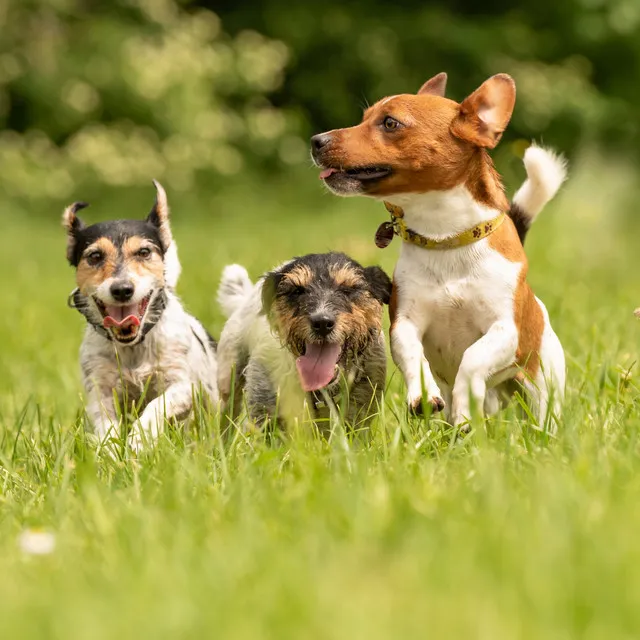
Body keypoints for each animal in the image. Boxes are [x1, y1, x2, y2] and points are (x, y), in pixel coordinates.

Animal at [63, 180, 218, 450]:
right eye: (95, 256)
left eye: (144, 252)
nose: (122, 289)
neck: (133, 347)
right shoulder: (100, 391)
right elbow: (106, 425)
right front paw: (112, 450)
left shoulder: (184, 385)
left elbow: (157, 406)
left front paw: (138, 439)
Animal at [312, 72, 568, 428]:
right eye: (363, 118)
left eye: (390, 123)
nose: (316, 140)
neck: (446, 239)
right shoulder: (404, 324)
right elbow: (413, 356)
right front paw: (422, 394)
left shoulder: (505, 331)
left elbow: (472, 358)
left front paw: (464, 401)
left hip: (543, 388)